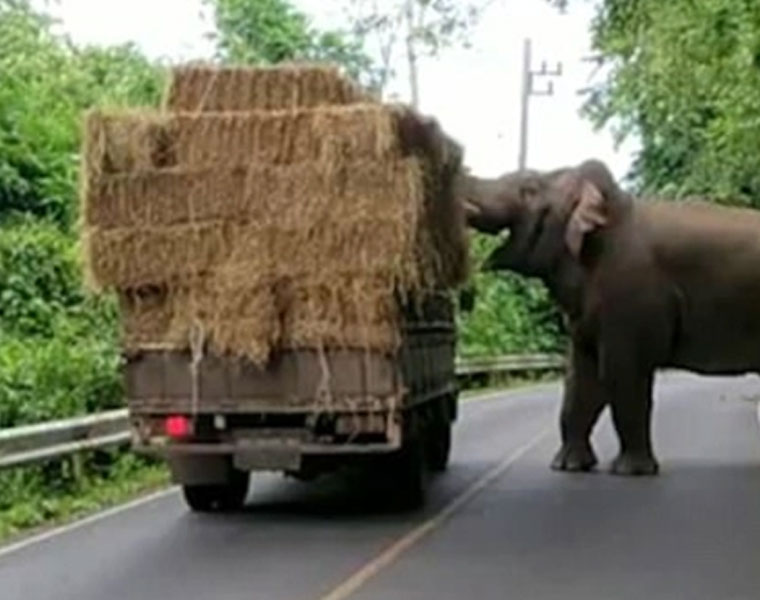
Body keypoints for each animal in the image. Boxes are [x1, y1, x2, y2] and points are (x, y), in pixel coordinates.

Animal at [460, 159, 760, 478]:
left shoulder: (631, 297)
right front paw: (568, 466)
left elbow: (621, 373)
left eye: (529, 189)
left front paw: (631, 471)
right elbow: (580, 376)